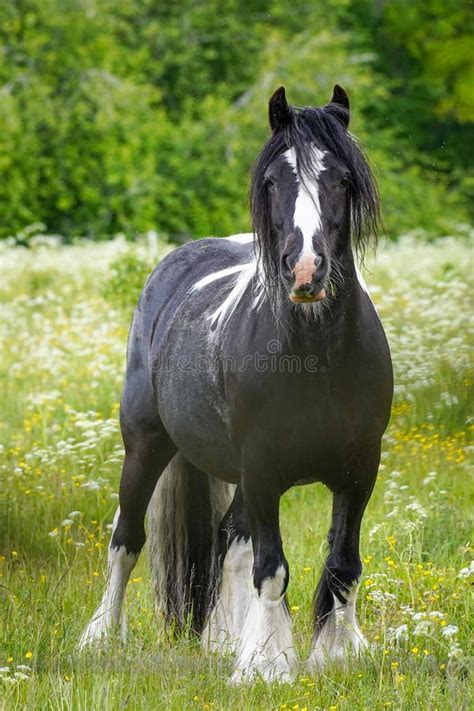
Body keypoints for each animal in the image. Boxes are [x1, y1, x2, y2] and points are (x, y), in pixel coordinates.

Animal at [80, 86, 392, 680]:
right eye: (272, 180)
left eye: (343, 179)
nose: (305, 270)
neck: (311, 357)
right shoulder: (264, 469)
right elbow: (272, 568)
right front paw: (266, 664)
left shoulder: (359, 470)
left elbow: (342, 564)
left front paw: (336, 655)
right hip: (146, 445)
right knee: (126, 540)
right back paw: (99, 638)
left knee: (230, 538)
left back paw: (221, 640)